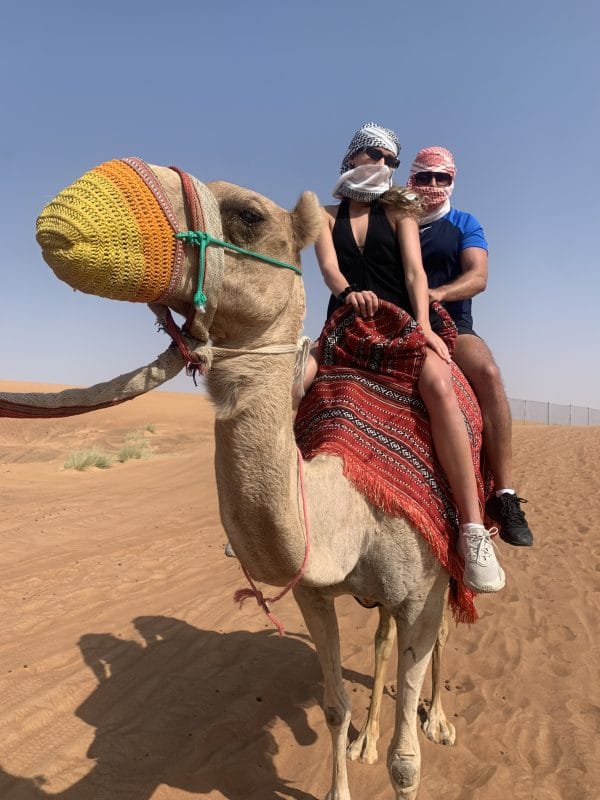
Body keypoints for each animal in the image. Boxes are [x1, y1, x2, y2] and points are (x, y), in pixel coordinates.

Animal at [0, 159, 460, 800]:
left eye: (249, 214)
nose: (66, 216)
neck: (349, 502)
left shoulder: (422, 589)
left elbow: (406, 759)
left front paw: (414, 734)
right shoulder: (314, 591)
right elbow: (334, 704)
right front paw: (347, 762)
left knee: (441, 634)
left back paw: (437, 718)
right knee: (380, 638)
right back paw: (367, 737)